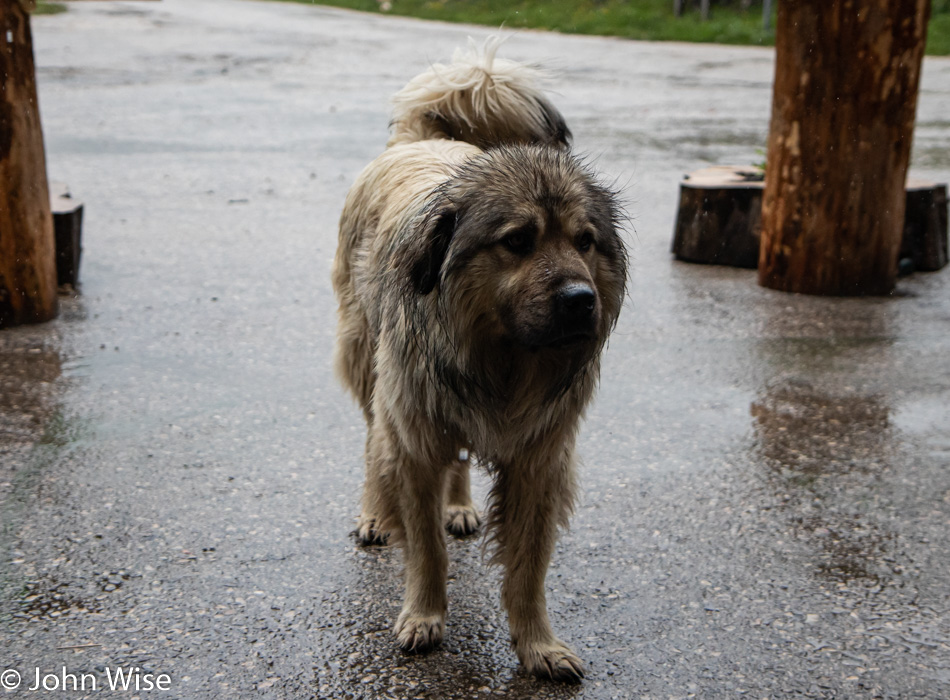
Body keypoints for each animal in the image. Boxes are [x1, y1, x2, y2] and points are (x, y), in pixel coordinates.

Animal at [330, 41, 628, 680]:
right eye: (517, 241)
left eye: (585, 241)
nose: (581, 300)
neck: (501, 359)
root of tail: (421, 139)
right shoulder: (415, 435)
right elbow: (426, 547)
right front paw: (423, 615)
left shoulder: (539, 459)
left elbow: (528, 567)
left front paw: (538, 643)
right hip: (366, 360)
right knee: (373, 439)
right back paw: (374, 512)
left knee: (460, 456)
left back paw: (461, 504)